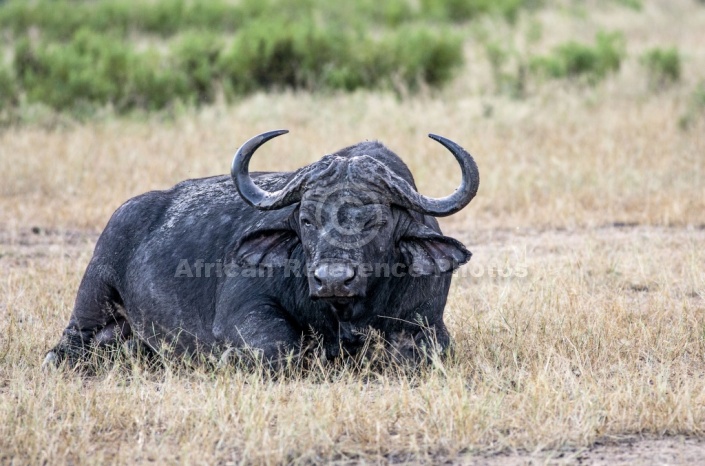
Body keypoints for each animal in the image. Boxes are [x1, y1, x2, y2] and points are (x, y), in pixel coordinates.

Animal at [42, 130, 478, 368]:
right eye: (307, 220)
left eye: (377, 222)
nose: (332, 280)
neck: (346, 313)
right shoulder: (244, 311)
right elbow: (277, 349)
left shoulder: (427, 321)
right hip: (93, 296)